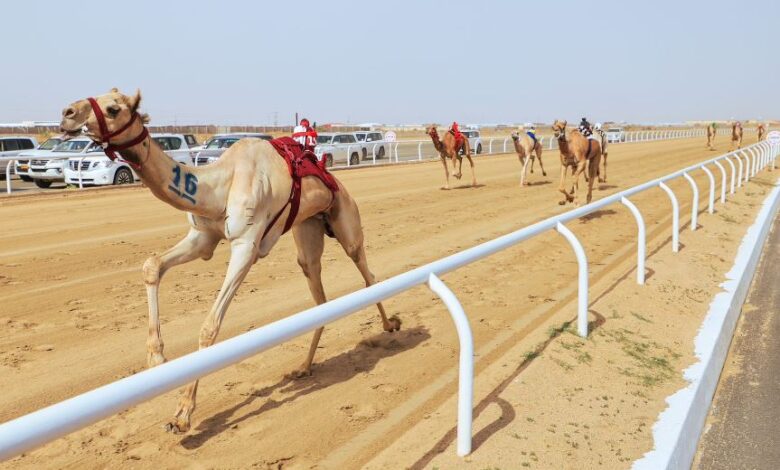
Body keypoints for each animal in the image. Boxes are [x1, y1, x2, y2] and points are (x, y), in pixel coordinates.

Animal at [59, 90, 402, 436]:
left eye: (113, 108)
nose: (67, 114)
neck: (218, 188)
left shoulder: (246, 246)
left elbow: (210, 327)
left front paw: (182, 414)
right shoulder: (203, 237)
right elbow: (151, 265)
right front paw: (156, 358)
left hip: (346, 219)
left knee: (367, 273)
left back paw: (391, 326)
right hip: (308, 229)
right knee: (318, 293)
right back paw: (304, 367)